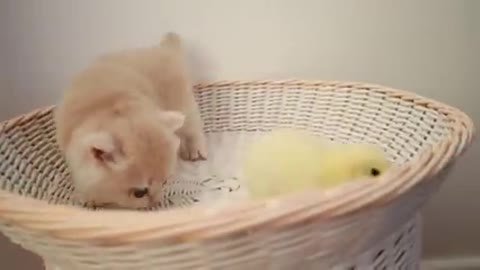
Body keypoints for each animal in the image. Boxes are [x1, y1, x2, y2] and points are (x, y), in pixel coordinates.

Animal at [55, 32, 207, 209]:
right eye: (139, 193)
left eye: (164, 182)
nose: (156, 201)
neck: (106, 107)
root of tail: (163, 49)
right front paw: (88, 198)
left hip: (182, 103)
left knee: (192, 127)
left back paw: (196, 149)